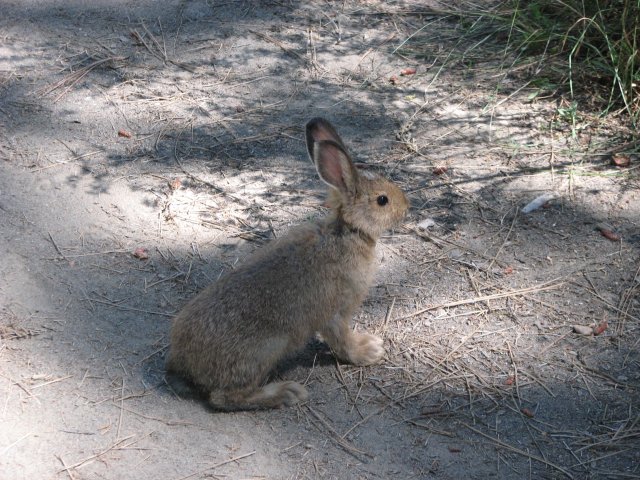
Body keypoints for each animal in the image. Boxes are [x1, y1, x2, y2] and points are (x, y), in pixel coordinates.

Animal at [165, 117, 409, 411]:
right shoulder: (335, 311)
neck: (347, 232)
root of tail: (184, 364)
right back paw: (287, 392)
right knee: (224, 398)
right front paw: (368, 351)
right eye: (382, 200)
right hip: (264, 351)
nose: (407, 206)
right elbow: (342, 341)